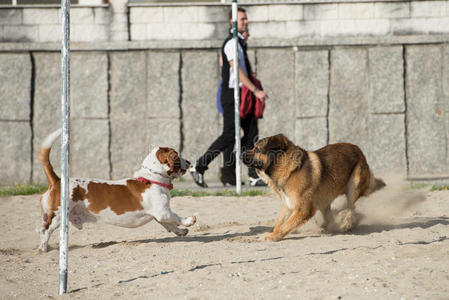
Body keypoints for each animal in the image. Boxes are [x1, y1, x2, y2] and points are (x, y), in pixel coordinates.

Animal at [39, 129, 197, 251]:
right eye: (177, 155)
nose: (189, 162)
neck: (152, 178)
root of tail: (57, 180)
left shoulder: (159, 215)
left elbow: (171, 225)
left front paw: (182, 231)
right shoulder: (163, 212)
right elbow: (176, 217)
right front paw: (189, 220)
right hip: (58, 215)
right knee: (45, 230)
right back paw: (44, 248)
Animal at [242, 134, 384, 241]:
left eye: (257, 149)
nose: (241, 153)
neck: (289, 169)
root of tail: (359, 149)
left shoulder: (303, 209)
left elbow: (285, 226)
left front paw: (273, 236)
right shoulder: (288, 205)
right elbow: (279, 223)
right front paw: (272, 232)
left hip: (353, 186)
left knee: (350, 208)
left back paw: (346, 223)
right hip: (324, 198)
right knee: (331, 215)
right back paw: (324, 227)